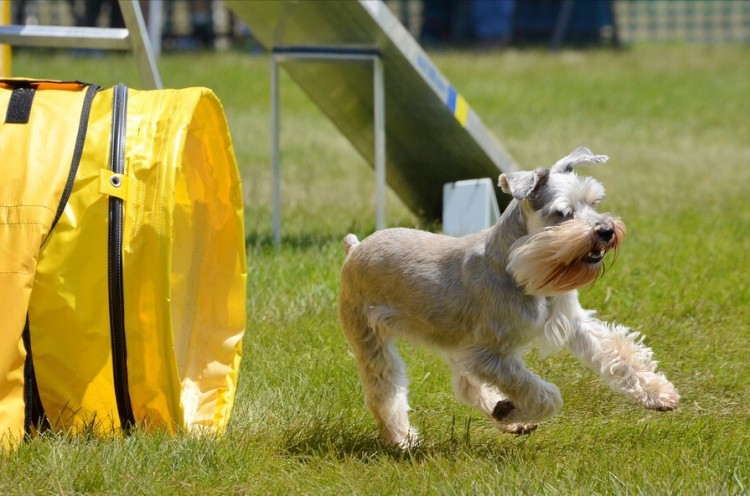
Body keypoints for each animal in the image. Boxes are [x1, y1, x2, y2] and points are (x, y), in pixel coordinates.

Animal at [340, 146, 680, 446]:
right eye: (563, 213)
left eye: (594, 202)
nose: (607, 231)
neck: (519, 268)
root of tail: (355, 248)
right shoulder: (490, 356)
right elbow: (544, 395)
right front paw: (513, 409)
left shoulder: (571, 323)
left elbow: (617, 351)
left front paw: (659, 393)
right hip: (371, 340)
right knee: (385, 393)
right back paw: (402, 440)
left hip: (452, 343)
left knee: (466, 387)